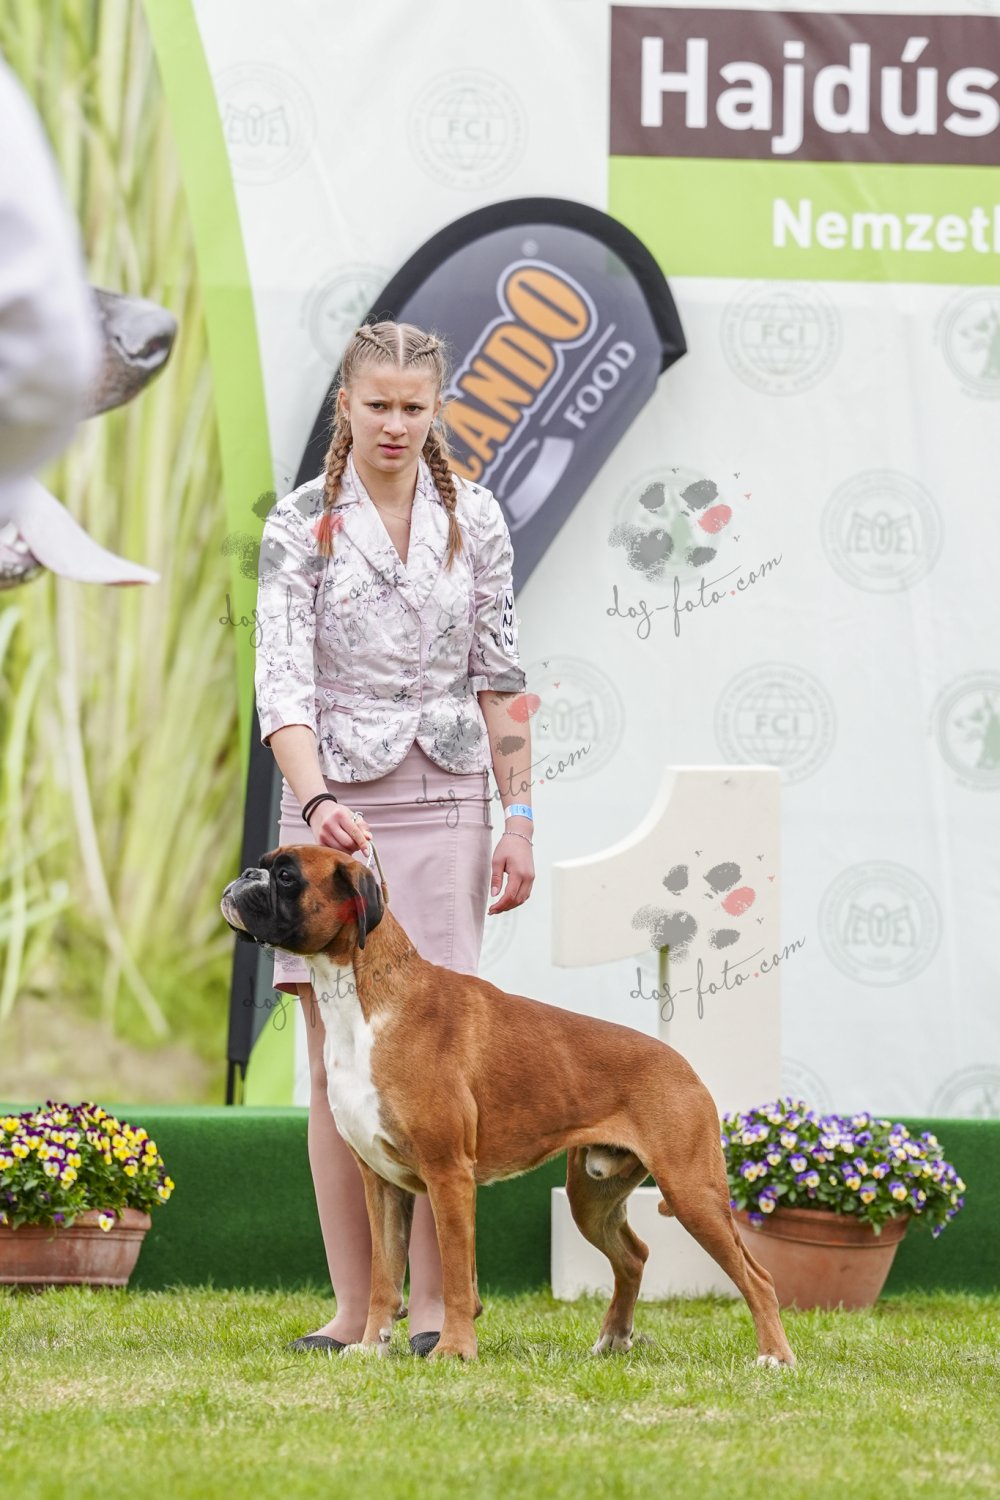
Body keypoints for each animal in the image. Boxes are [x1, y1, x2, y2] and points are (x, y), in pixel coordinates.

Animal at [221, 845, 796, 1369]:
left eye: (287, 875)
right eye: (265, 865)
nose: (245, 874)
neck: (364, 1001)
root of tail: (683, 1063)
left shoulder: (448, 1175)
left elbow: (455, 1274)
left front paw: (453, 1350)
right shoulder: (381, 1182)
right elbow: (383, 1276)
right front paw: (370, 1347)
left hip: (691, 1192)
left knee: (758, 1276)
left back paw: (774, 1356)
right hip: (591, 1198)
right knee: (634, 1256)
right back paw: (613, 1339)